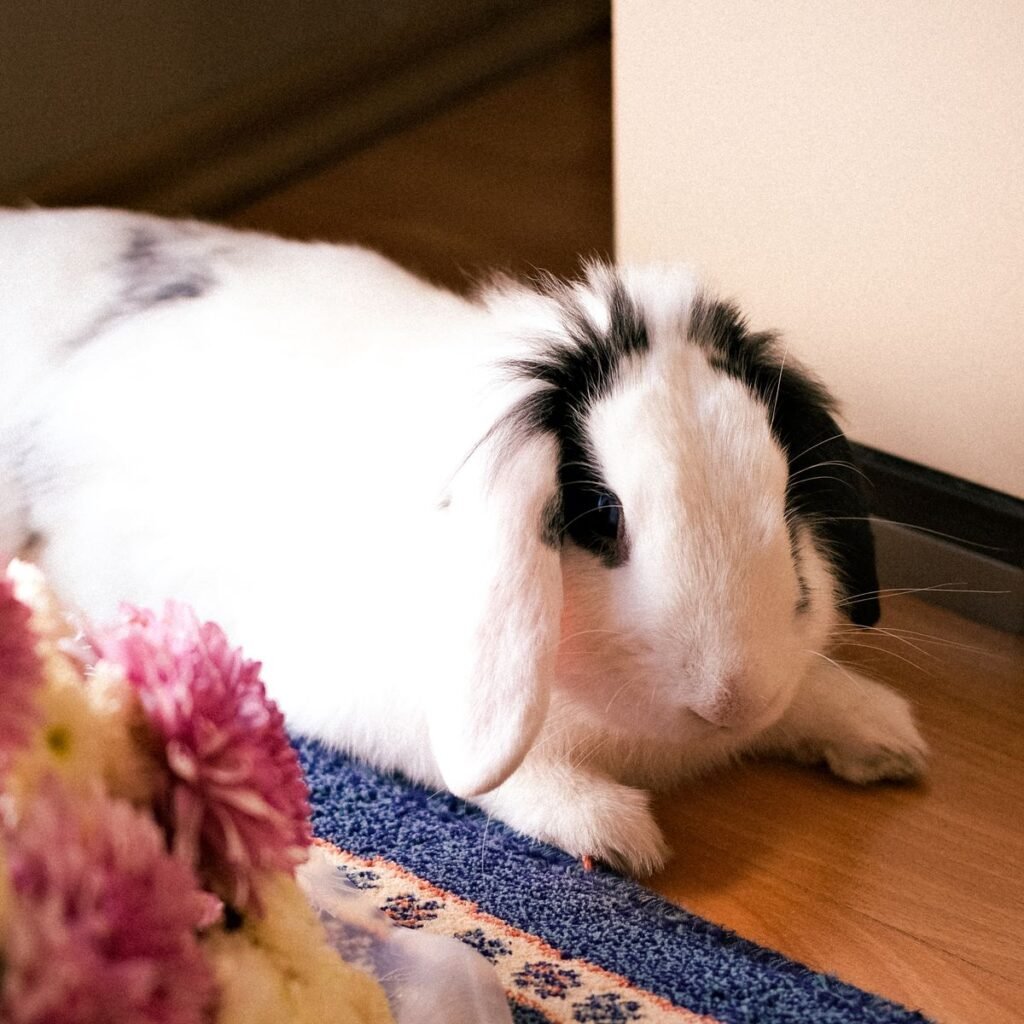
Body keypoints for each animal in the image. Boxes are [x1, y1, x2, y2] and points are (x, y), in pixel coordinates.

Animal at [0, 207, 927, 873]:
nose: (728, 698)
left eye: (785, 499)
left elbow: (808, 695)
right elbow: (498, 779)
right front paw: (617, 837)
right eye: (602, 515)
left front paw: (887, 741)